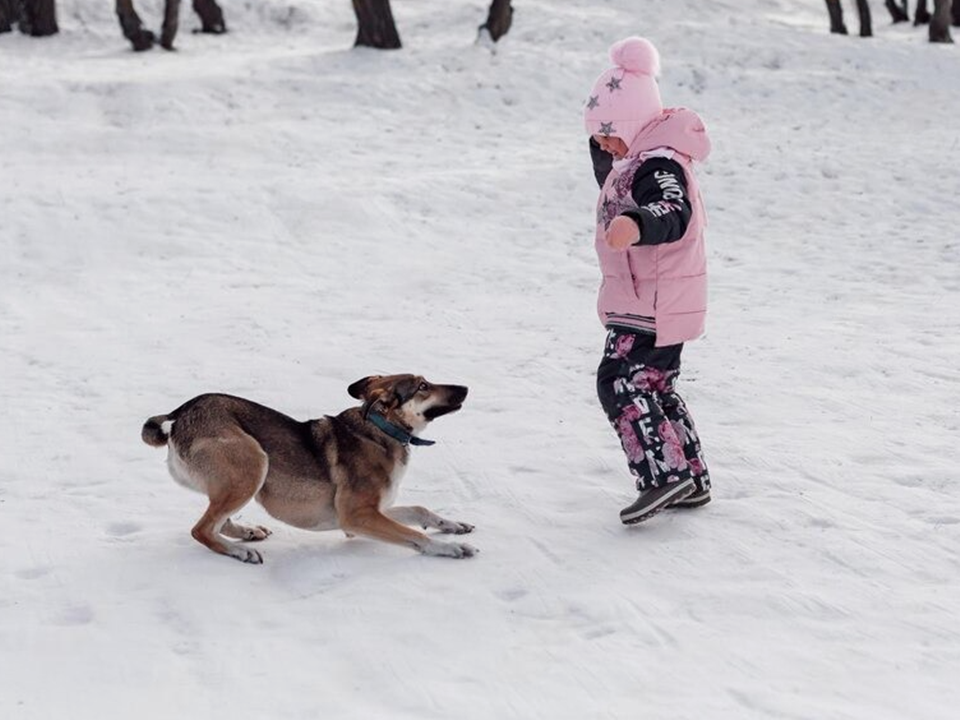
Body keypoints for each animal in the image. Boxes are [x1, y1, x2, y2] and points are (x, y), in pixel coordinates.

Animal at [141, 374, 478, 564]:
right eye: (423, 386)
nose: (465, 387)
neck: (381, 428)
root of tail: (177, 415)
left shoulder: (372, 511)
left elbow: (420, 511)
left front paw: (453, 525)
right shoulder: (357, 517)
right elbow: (413, 533)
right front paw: (450, 548)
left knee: (217, 522)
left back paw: (247, 533)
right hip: (254, 462)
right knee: (201, 529)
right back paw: (240, 552)